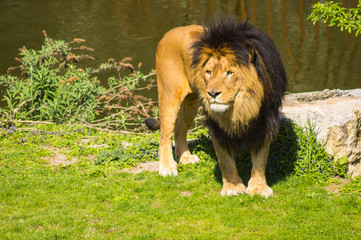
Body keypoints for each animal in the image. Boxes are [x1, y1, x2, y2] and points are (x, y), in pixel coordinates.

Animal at [145, 16, 286, 197]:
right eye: (209, 72)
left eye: (229, 73)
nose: (212, 93)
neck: (244, 105)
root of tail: (168, 33)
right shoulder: (217, 127)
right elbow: (225, 159)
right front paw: (232, 187)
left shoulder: (265, 120)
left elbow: (261, 160)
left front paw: (258, 188)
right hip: (169, 94)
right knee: (165, 134)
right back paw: (167, 167)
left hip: (191, 102)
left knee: (180, 129)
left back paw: (185, 158)